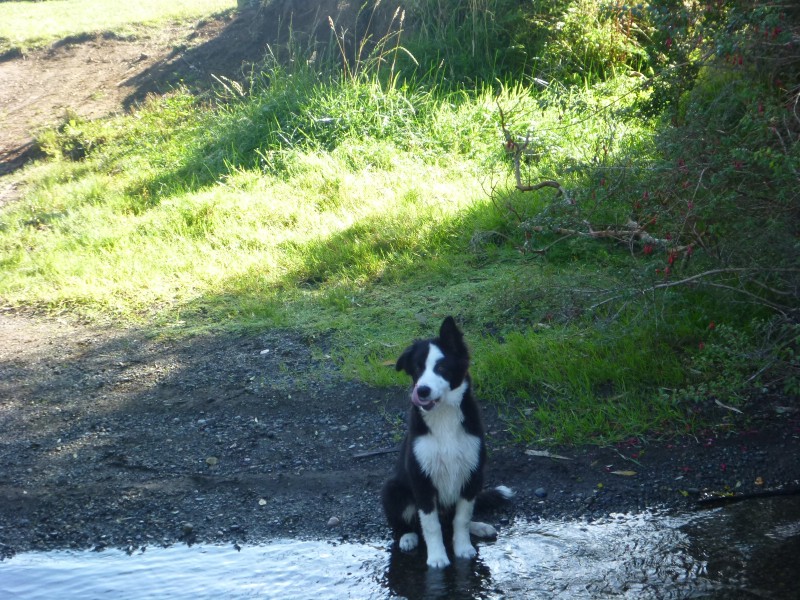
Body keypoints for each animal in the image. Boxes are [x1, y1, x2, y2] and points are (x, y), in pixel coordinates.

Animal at [382, 316, 512, 568]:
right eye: (417, 368)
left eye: (441, 367)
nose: (422, 391)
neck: (444, 417)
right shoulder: (422, 479)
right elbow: (431, 525)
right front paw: (437, 558)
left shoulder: (472, 474)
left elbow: (462, 519)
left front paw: (463, 549)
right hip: (392, 488)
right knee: (405, 525)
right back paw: (408, 538)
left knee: (453, 520)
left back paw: (479, 527)